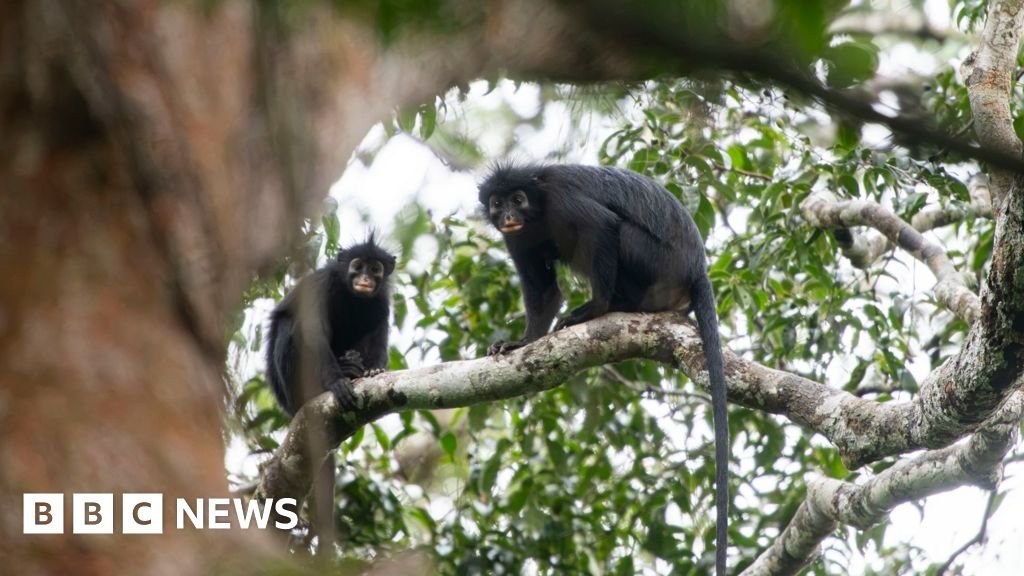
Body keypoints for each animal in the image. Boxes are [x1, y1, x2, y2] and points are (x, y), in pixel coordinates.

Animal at [265, 234, 396, 555]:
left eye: (375, 269)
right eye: (357, 265)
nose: (365, 279)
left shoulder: (381, 300)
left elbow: (378, 330)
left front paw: (373, 371)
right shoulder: (321, 286)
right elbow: (313, 332)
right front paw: (336, 383)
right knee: (291, 325)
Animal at [479, 163, 729, 574]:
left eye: (518, 199)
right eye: (498, 204)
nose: (510, 215)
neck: (538, 209)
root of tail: (697, 268)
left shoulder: (563, 199)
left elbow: (602, 227)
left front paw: (594, 308)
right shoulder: (517, 239)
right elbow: (543, 292)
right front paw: (522, 342)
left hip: (655, 262)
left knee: (620, 232)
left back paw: (614, 305)